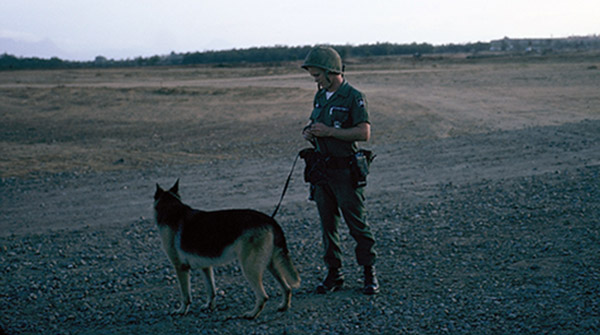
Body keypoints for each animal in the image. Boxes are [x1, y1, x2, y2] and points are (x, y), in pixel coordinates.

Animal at [154, 181, 300, 320]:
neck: (171, 208)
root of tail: (269, 219)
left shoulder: (181, 268)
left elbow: (185, 296)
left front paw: (181, 310)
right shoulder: (205, 267)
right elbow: (211, 290)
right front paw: (209, 306)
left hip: (249, 268)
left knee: (263, 296)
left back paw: (252, 314)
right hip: (271, 265)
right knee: (287, 288)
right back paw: (283, 306)